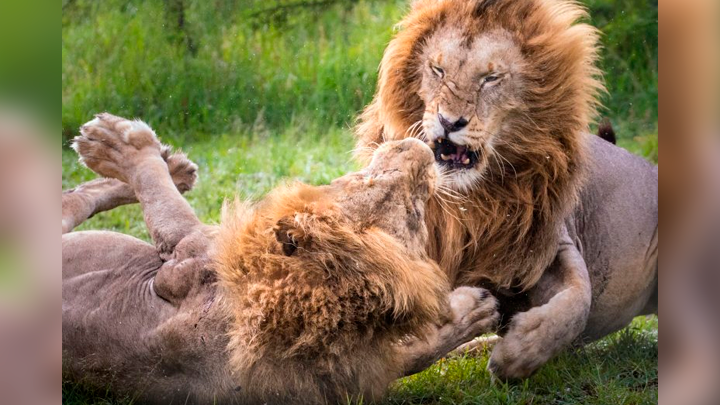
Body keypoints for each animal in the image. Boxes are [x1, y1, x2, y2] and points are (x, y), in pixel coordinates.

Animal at [63, 114, 500, 404]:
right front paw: (477, 315)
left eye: (414, 214)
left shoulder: (185, 252)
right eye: (363, 180)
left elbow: (156, 188)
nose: (422, 149)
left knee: (73, 199)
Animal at [354, 0, 660, 378]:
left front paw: (518, 354)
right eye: (438, 70)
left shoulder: (549, 245)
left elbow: (578, 303)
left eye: (490, 79)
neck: (471, 201)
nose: (449, 122)